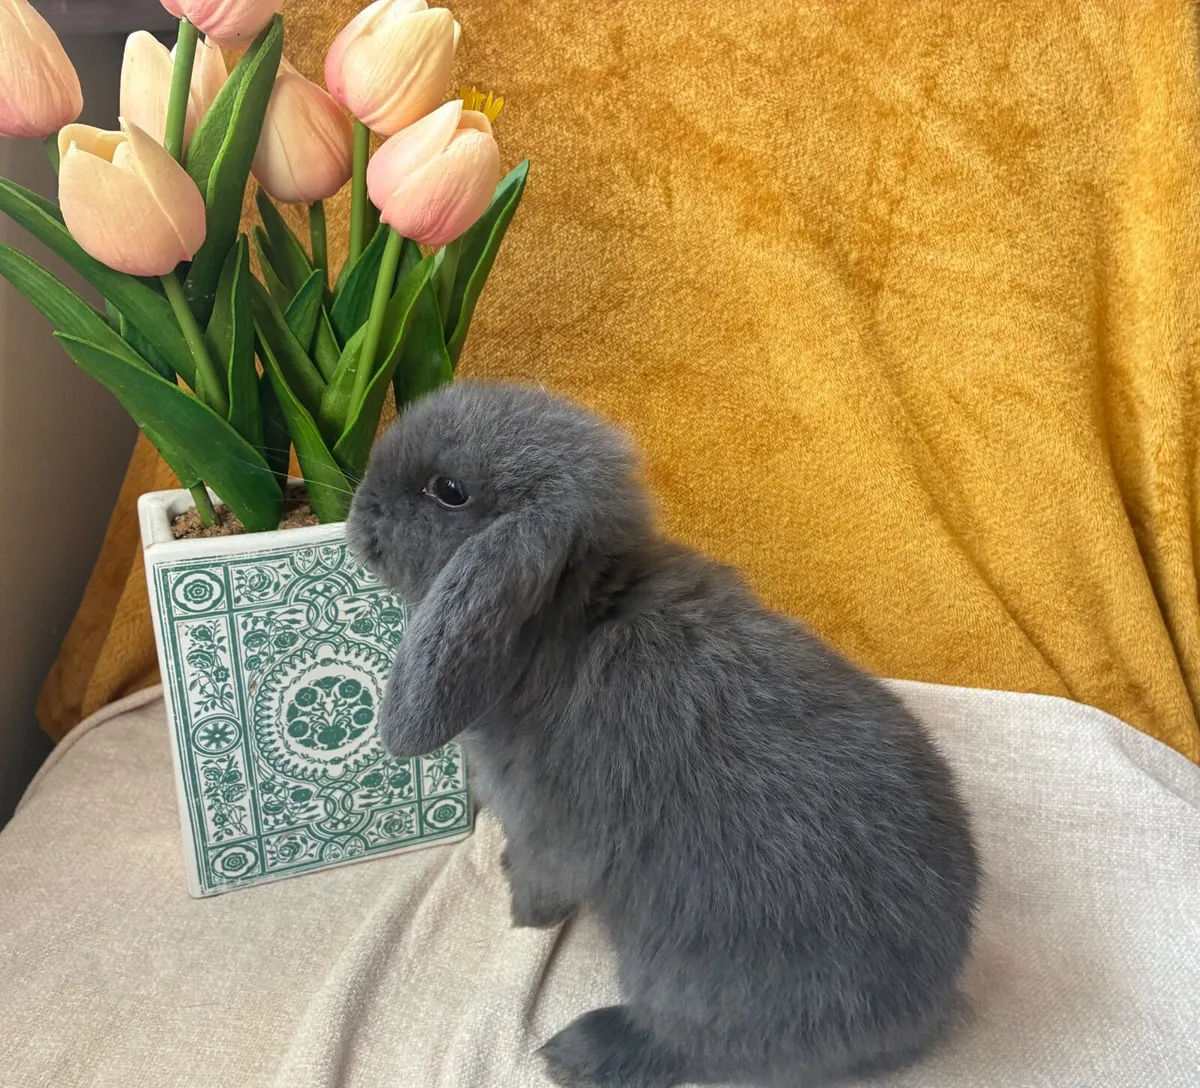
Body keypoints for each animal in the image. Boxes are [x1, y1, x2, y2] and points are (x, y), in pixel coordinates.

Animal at [347, 381, 980, 1088]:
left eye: (448, 490)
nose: (359, 510)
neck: (567, 617)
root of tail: (924, 1011)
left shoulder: (548, 829)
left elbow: (542, 879)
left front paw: (521, 912)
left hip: (684, 979)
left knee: (693, 1046)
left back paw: (581, 1052)